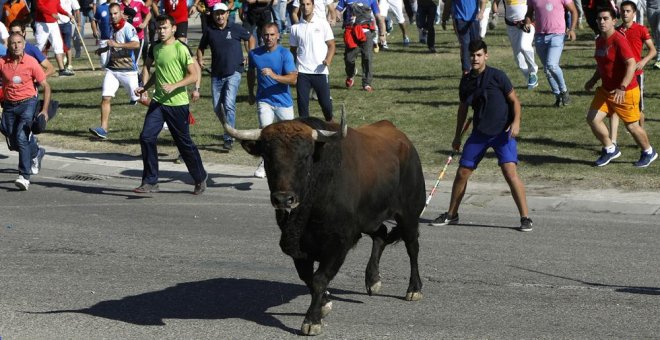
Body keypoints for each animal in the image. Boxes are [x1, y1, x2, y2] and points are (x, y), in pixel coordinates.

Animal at [222, 109, 428, 334]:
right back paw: (373, 280)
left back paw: (414, 289)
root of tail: (401, 137)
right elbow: (308, 278)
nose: (284, 199)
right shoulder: (298, 246)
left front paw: (312, 320)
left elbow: (319, 279)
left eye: (305, 156)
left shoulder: (339, 243)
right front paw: (325, 303)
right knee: (381, 234)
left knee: (413, 248)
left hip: (409, 215)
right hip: (369, 219)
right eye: (267, 157)